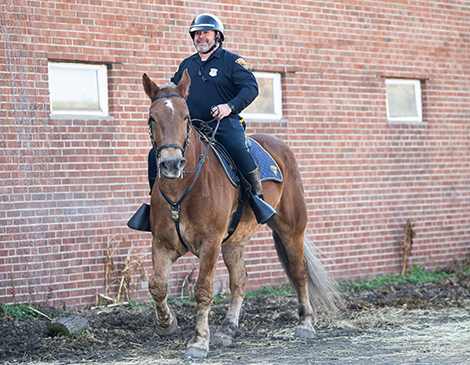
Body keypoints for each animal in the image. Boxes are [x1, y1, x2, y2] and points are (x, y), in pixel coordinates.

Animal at [141, 71, 340, 358]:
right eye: (152, 118)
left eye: (185, 117)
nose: (171, 164)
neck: (183, 189)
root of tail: (280, 146)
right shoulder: (162, 242)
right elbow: (157, 285)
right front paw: (166, 324)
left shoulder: (210, 244)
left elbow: (203, 291)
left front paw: (199, 342)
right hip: (234, 241)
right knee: (240, 281)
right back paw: (228, 329)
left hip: (292, 229)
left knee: (299, 271)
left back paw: (304, 324)